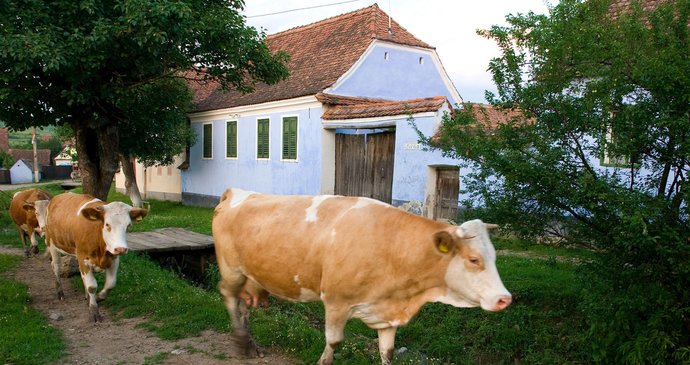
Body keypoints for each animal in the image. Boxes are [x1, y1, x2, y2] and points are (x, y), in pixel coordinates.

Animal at [46, 192, 148, 320]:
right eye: (107, 224)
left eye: (128, 226)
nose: (121, 249)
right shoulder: (84, 258)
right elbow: (92, 286)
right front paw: (94, 311)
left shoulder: (114, 259)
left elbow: (110, 284)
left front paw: (98, 297)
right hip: (52, 244)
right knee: (56, 267)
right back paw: (60, 293)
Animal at [212, 188, 508, 364]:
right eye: (474, 259)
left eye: (495, 256)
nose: (505, 298)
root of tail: (236, 192)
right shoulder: (336, 301)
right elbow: (333, 343)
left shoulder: (387, 312)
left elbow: (387, 352)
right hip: (232, 269)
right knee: (228, 296)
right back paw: (240, 342)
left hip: (250, 275)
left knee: (243, 305)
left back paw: (251, 346)